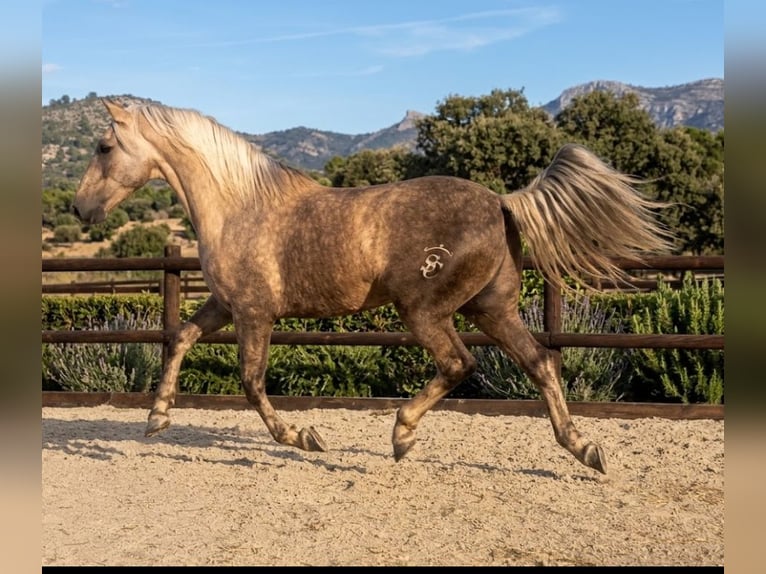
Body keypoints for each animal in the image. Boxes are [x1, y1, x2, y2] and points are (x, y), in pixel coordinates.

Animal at [74, 98, 673, 474]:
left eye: (103, 147)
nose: (80, 209)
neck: (238, 206)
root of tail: (502, 201)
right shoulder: (224, 305)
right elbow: (180, 338)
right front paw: (156, 419)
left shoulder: (253, 313)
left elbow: (251, 383)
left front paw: (305, 438)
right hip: (491, 309)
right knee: (542, 364)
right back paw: (585, 449)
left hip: (425, 311)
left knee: (460, 364)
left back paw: (402, 435)